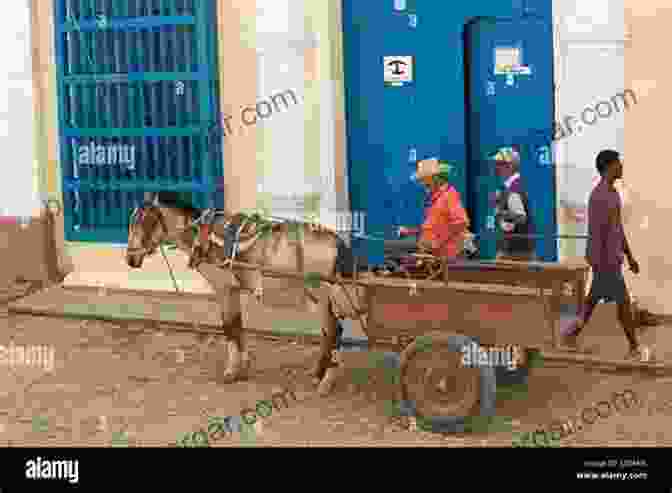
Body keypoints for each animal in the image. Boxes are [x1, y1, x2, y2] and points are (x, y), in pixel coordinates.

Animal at [123, 191, 360, 392]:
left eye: (142, 222)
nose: (130, 259)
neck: (205, 237)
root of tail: (336, 241)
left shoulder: (223, 288)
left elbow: (229, 328)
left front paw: (231, 371)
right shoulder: (233, 289)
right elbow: (237, 326)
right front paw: (242, 367)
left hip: (320, 297)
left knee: (333, 332)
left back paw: (326, 380)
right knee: (330, 333)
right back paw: (319, 373)